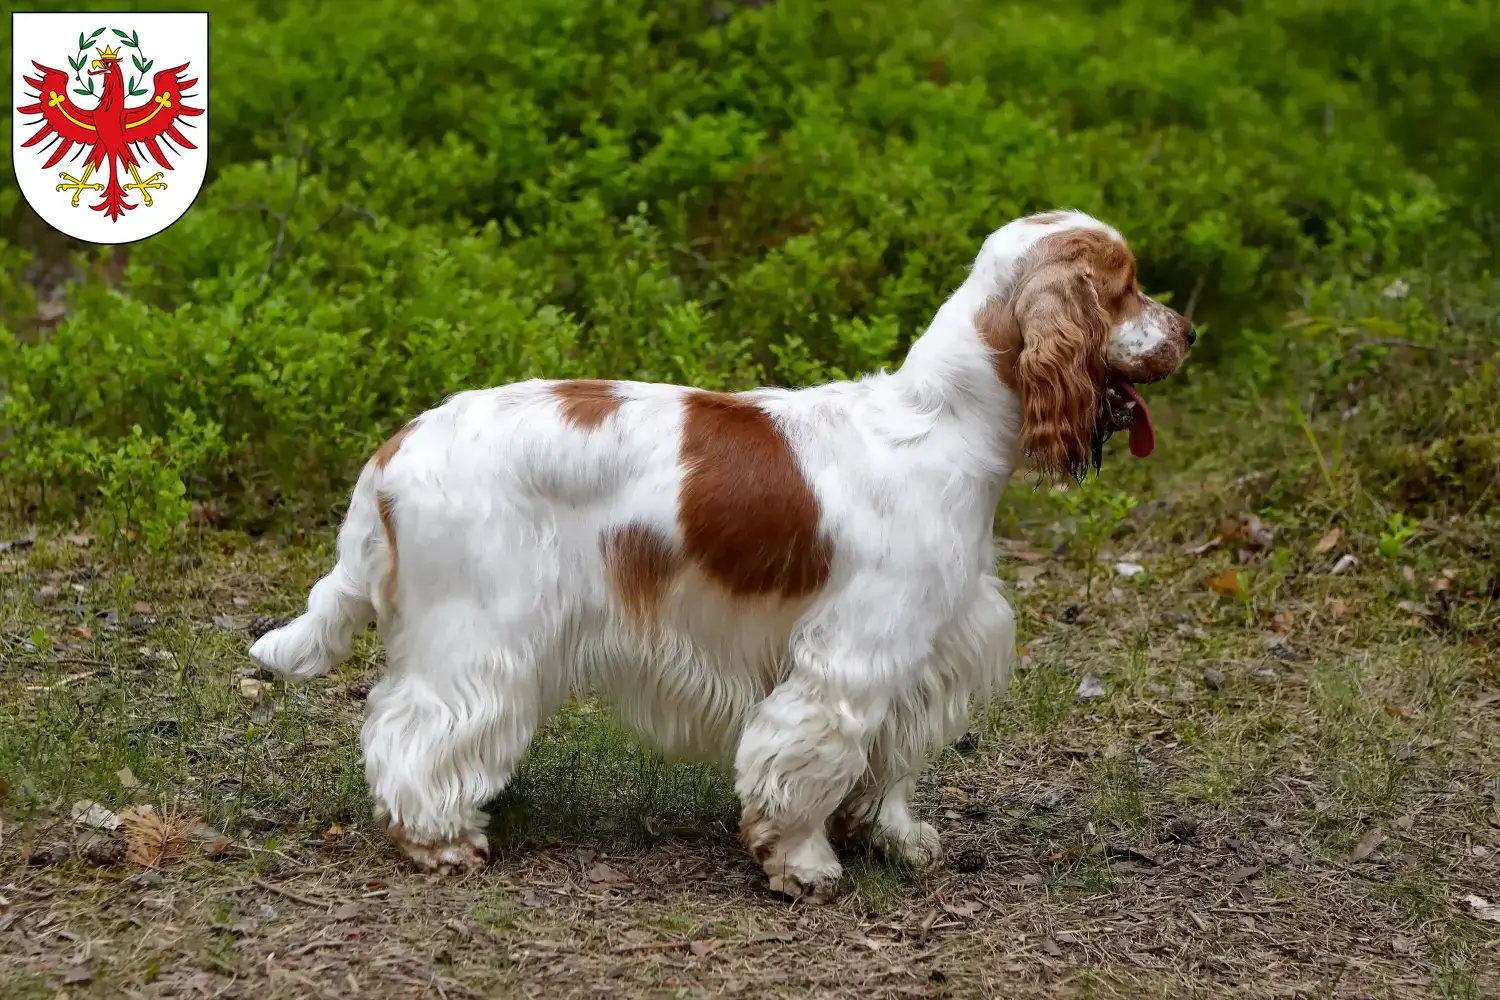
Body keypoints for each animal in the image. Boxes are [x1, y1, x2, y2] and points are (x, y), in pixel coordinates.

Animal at [255, 211, 1194, 899]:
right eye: (1125, 289)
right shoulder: (849, 658)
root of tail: (397, 445)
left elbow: (887, 764)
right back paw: (441, 841)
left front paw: (897, 839)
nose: (1189, 328)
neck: (944, 422)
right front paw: (804, 864)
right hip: (481, 630)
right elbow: (807, 762)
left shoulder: (921, 652)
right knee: (411, 728)